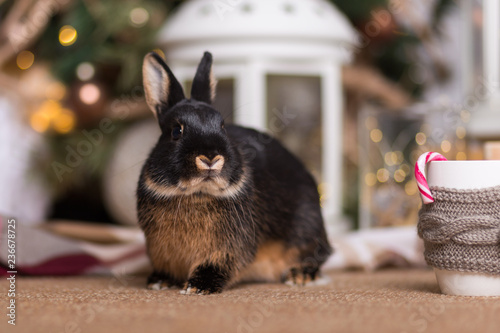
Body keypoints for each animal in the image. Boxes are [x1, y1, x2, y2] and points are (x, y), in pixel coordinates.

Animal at [137, 50, 332, 294]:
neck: (197, 194)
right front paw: (159, 281)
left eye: (222, 127)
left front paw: (198, 288)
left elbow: (218, 264)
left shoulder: (229, 248)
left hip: (306, 229)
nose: (210, 158)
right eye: (176, 131)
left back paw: (299, 275)